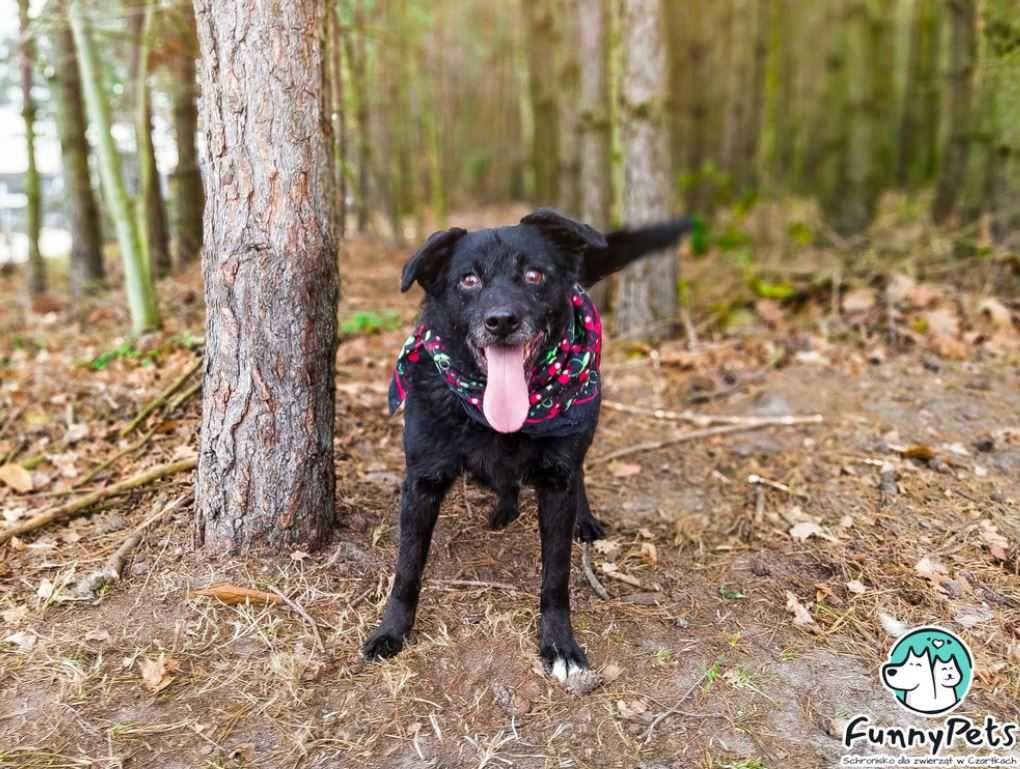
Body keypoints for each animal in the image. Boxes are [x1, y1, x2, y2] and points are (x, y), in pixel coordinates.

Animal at [363, 208, 689, 677]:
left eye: (535, 275)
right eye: (468, 280)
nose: (501, 321)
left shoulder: (556, 482)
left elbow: (556, 576)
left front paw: (560, 644)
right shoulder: (422, 482)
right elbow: (407, 569)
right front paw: (391, 631)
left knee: (579, 471)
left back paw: (582, 519)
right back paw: (503, 507)